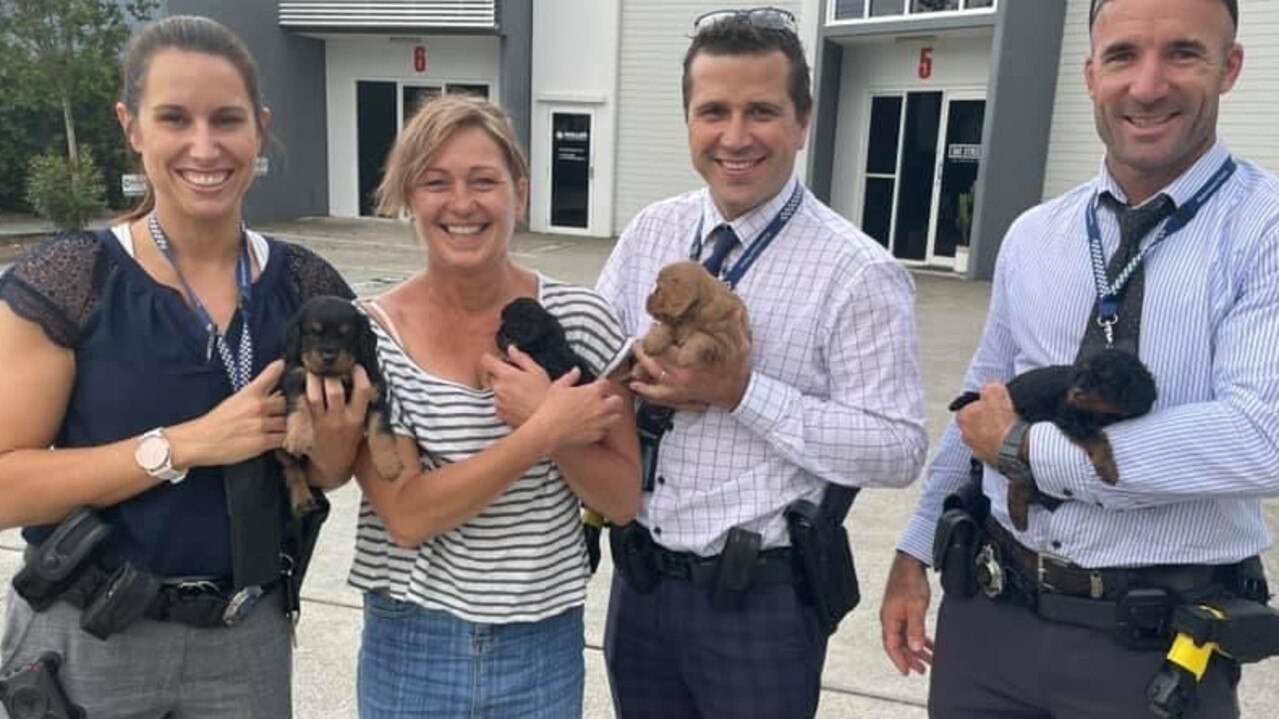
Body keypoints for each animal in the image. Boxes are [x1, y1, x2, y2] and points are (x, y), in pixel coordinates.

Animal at [278, 295, 399, 514]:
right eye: (313, 332)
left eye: (346, 334)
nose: (329, 356)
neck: (337, 376)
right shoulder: (293, 377)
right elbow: (299, 405)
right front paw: (299, 436)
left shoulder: (376, 393)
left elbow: (380, 430)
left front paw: (389, 465)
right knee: (292, 468)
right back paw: (302, 499)